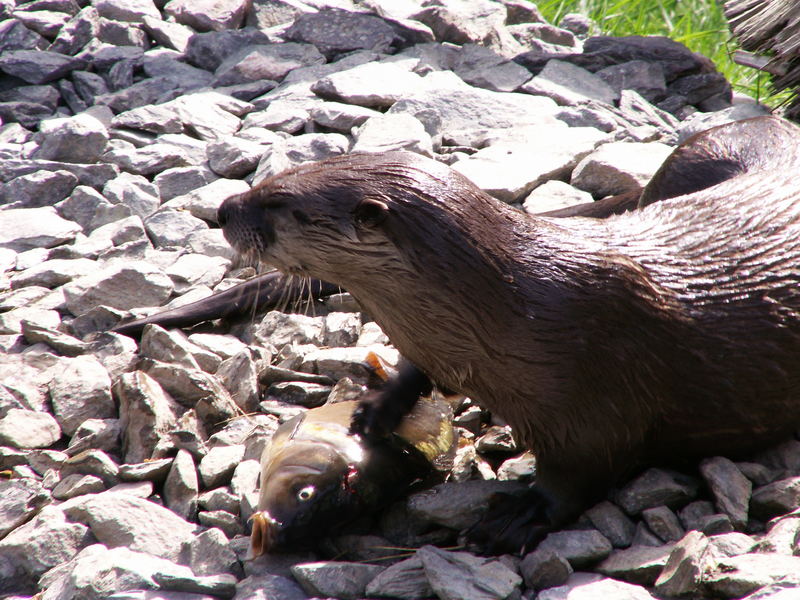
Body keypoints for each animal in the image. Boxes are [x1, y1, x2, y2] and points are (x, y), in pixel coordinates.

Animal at [216, 117, 800, 552]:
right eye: (269, 180)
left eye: (280, 204)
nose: (223, 209)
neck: (520, 310)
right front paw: (380, 407)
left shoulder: (598, 389)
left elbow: (585, 465)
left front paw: (524, 512)